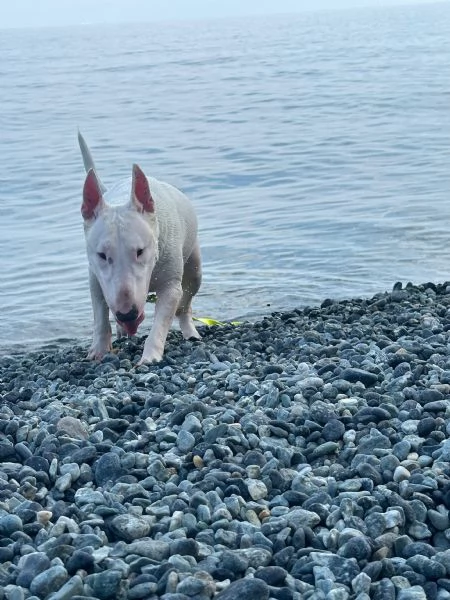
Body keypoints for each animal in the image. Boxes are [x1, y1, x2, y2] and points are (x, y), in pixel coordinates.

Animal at [78, 133, 201, 364]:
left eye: (140, 251)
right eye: (102, 255)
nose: (127, 314)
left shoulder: (171, 286)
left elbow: (161, 322)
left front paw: (150, 356)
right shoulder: (95, 279)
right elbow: (100, 314)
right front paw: (98, 349)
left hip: (194, 265)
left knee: (186, 303)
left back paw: (190, 332)